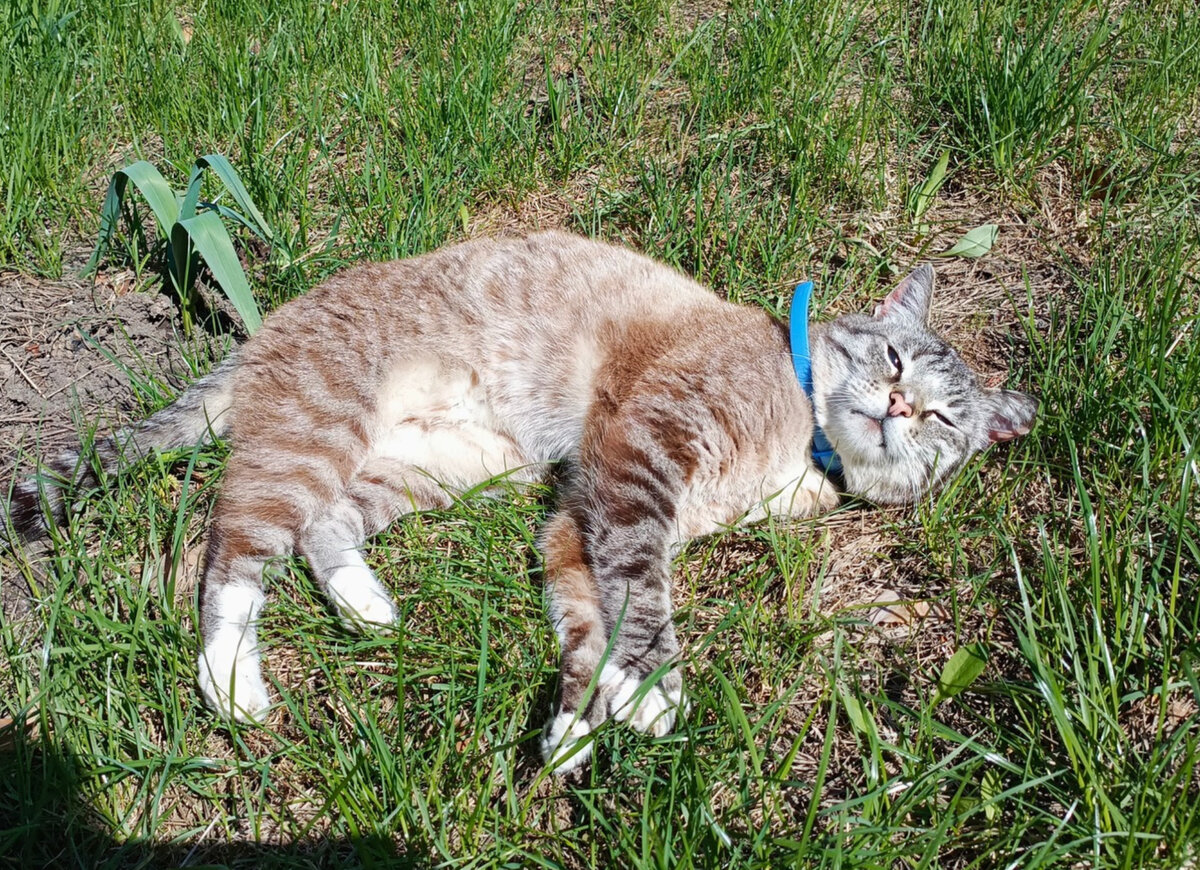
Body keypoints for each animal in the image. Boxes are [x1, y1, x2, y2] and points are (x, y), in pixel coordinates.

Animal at [0, 232, 1036, 772]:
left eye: (943, 417)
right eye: (894, 360)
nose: (898, 409)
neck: (802, 428)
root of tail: (262, 335)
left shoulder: (578, 519)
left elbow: (589, 630)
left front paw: (580, 727)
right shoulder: (635, 470)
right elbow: (642, 605)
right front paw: (656, 693)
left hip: (444, 466)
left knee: (327, 528)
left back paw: (366, 607)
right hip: (315, 438)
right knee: (232, 556)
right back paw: (231, 683)